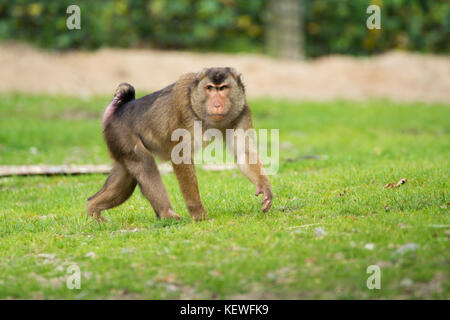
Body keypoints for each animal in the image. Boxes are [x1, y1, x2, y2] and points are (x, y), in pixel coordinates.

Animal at [86, 67, 272, 222]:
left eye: (223, 88)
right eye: (210, 88)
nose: (217, 105)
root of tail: (119, 110)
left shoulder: (242, 111)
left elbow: (244, 153)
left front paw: (264, 187)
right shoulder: (184, 110)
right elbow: (181, 156)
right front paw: (199, 215)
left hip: (117, 142)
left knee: (127, 176)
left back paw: (93, 208)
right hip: (120, 134)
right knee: (144, 163)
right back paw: (166, 214)